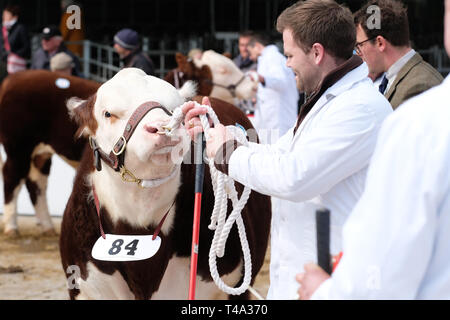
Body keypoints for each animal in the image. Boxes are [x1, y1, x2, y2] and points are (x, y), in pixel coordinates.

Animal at [0, 70, 100, 235]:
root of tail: (14, 77)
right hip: (18, 147)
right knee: (12, 178)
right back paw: (11, 227)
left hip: (40, 154)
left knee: (36, 182)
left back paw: (47, 226)